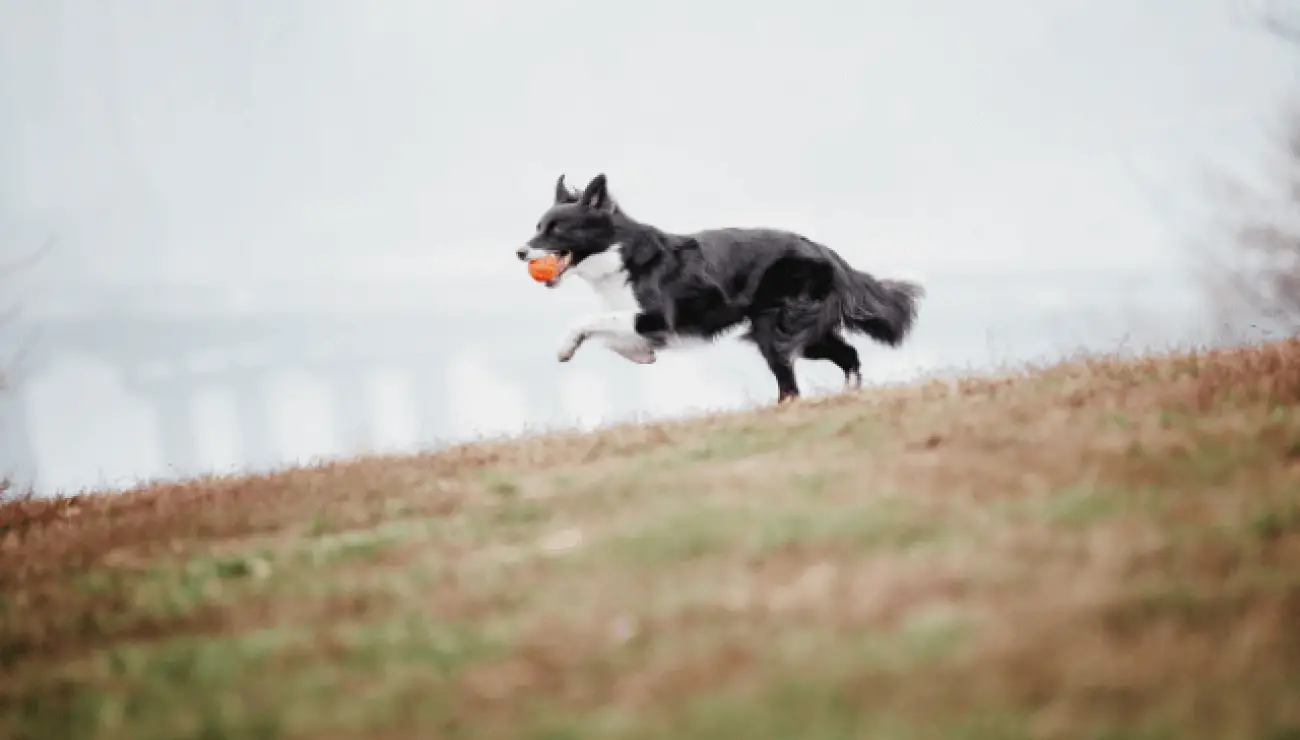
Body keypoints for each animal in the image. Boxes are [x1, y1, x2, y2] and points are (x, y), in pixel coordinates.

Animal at [512, 172, 920, 403]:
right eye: (538, 226)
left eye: (557, 229)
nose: (519, 252)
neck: (617, 253)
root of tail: (825, 251)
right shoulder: (636, 319)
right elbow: (610, 336)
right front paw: (640, 354)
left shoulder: (657, 315)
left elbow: (588, 321)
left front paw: (566, 346)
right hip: (799, 330)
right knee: (848, 354)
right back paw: (849, 396)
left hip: (776, 326)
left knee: (791, 383)